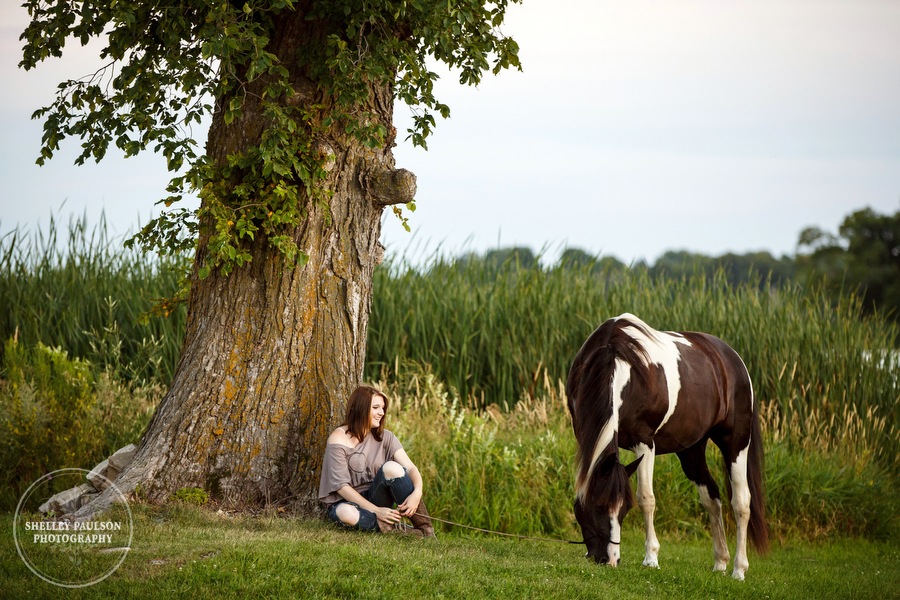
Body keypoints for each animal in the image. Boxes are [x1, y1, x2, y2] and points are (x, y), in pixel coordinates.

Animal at [568, 314, 768, 580]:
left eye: (625, 508)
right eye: (598, 506)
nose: (609, 560)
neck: (615, 359)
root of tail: (733, 359)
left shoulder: (644, 441)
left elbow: (646, 498)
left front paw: (651, 558)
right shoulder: (584, 434)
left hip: (736, 444)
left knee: (741, 503)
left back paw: (738, 569)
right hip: (691, 451)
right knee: (712, 497)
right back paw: (720, 562)